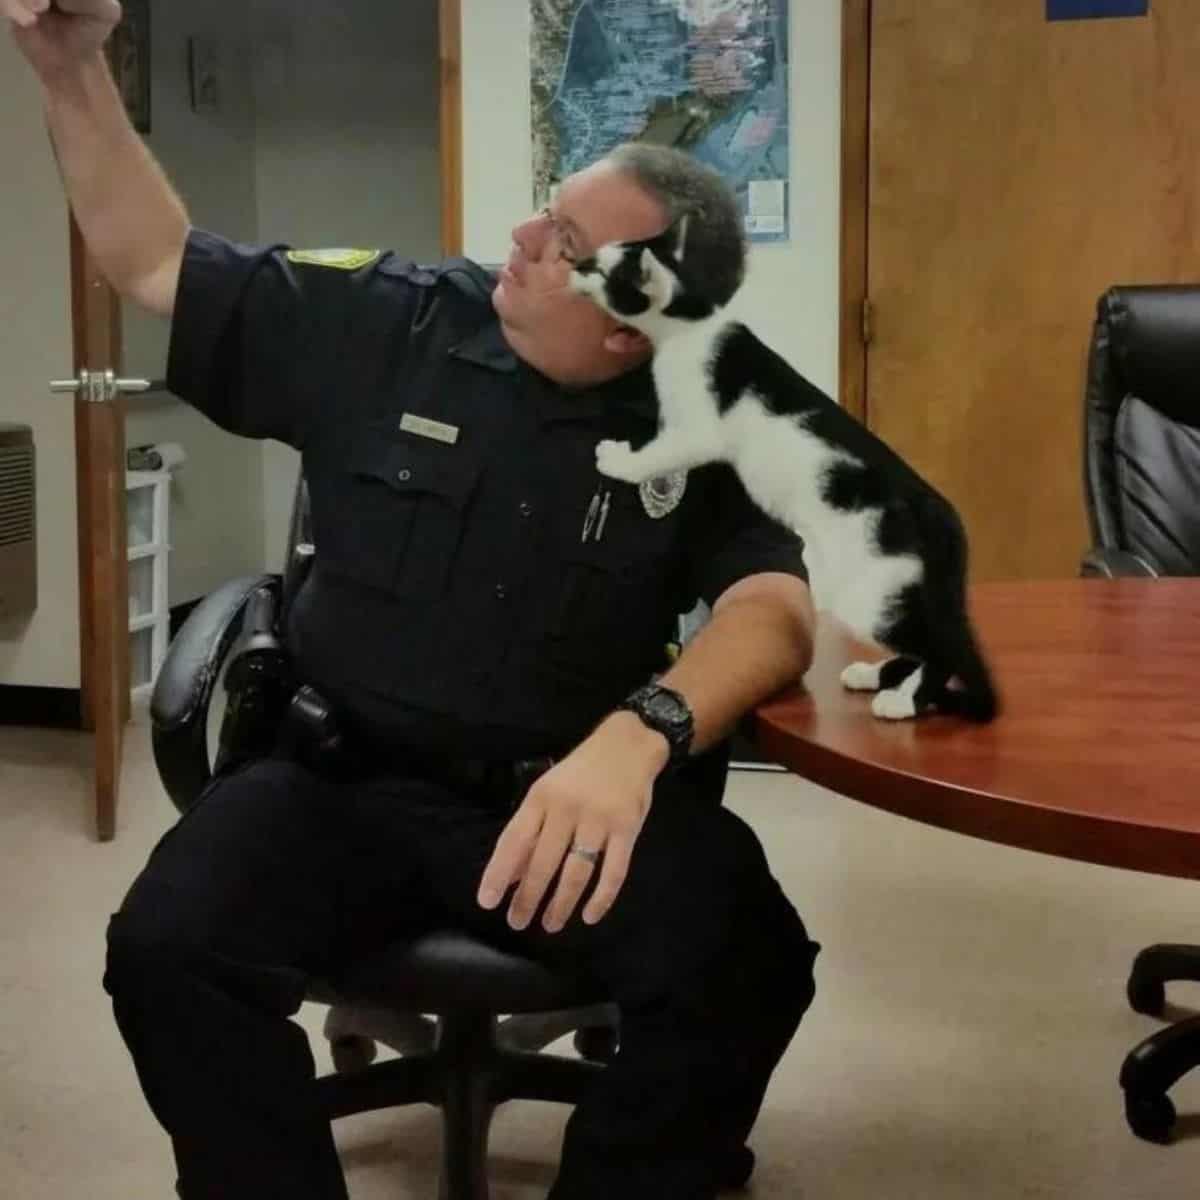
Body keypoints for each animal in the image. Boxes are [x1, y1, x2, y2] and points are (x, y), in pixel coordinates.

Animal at [566, 219, 998, 715]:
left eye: (599, 270)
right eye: (593, 258)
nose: (572, 264)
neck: (692, 328)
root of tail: (937, 508)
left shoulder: (697, 429)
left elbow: (658, 454)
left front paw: (616, 458)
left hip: (870, 590)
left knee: (938, 647)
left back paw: (904, 702)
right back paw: (875, 676)